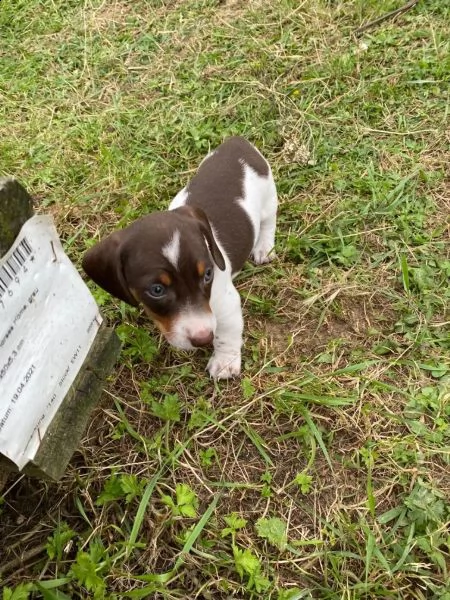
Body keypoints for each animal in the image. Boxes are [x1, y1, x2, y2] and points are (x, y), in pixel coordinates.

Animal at [82, 138, 276, 378]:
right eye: (157, 290)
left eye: (208, 275)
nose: (203, 339)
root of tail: (238, 142)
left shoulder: (226, 301)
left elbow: (227, 333)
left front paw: (224, 363)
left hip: (269, 196)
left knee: (268, 222)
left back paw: (264, 248)